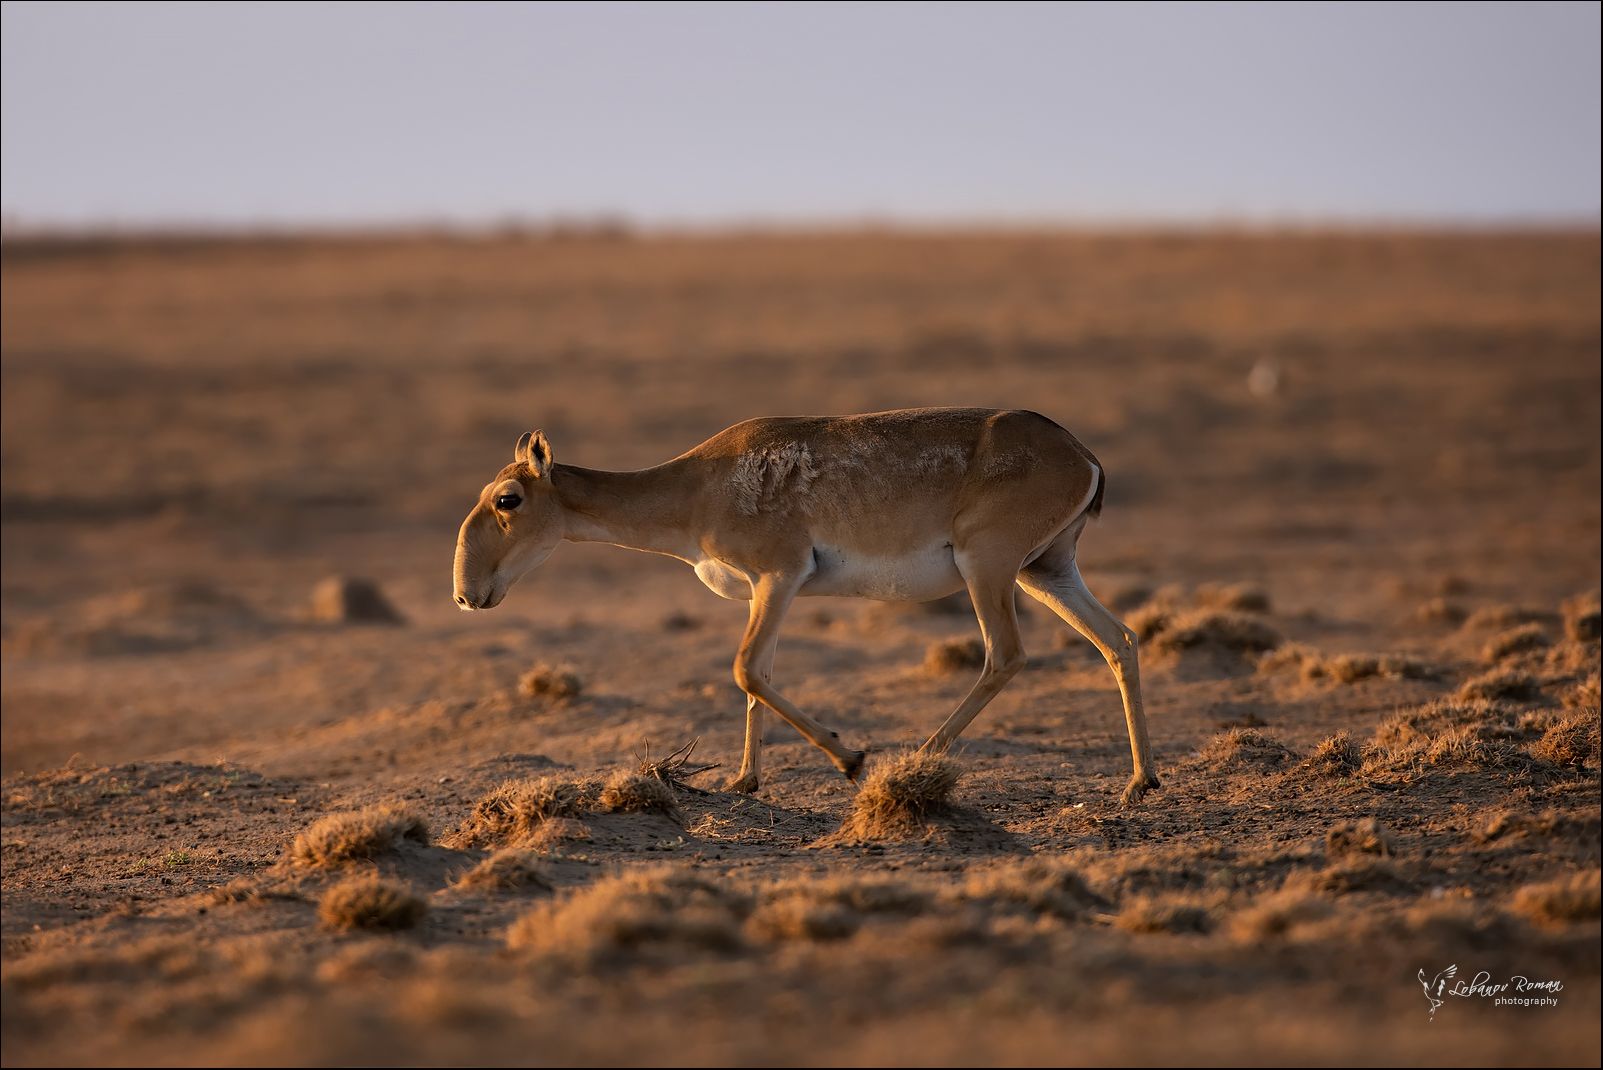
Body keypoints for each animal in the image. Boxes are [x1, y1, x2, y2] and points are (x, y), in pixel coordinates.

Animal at [458, 407, 1160, 802]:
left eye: (507, 499)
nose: (467, 593)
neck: (696, 487)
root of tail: (1082, 455)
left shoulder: (780, 575)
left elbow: (745, 670)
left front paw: (850, 757)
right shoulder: (764, 591)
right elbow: (756, 676)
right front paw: (744, 780)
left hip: (987, 568)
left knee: (1005, 655)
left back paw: (921, 755)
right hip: (1047, 569)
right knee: (1119, 639)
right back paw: (1140, 780)